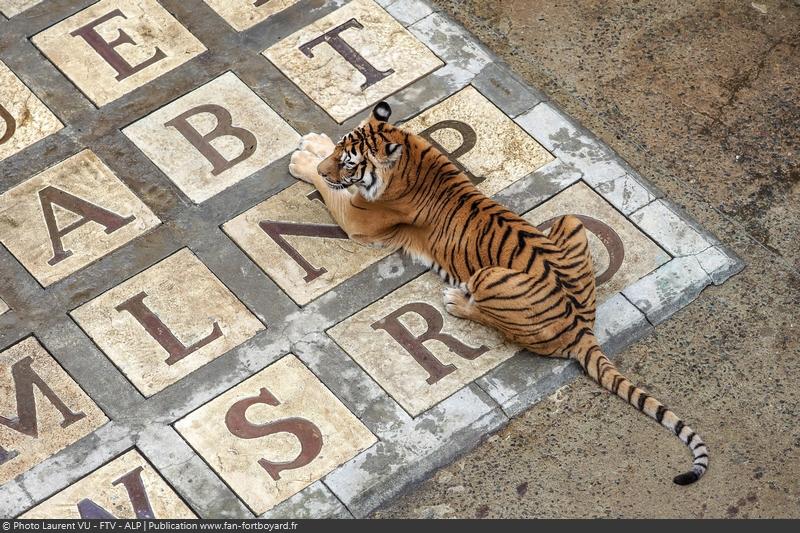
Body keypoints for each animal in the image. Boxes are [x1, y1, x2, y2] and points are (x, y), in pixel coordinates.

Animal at [290, 98, 708, 482]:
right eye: (341, 150)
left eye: (350, 163)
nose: (329, 166)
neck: (407, 151)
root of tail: (582, 327)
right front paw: (314, 146)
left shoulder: (357, 218)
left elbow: (328, 189)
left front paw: (303, 161)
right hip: (568, 221)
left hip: (489, 275)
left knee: (497, 323)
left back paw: (456, 302)